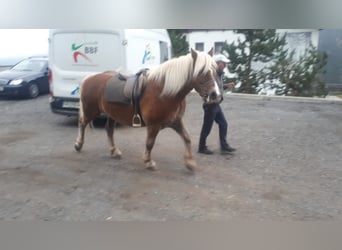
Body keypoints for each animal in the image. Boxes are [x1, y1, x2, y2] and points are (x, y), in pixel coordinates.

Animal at [74, 47, 222, 171]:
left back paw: (114, 151)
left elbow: (187, 138)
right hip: (91, 111)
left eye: (214, 70)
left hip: (111, 114)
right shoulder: (153, 125)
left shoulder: (176, 121)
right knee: (82, 123)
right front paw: (148, 161)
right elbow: (150, 143)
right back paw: (78, 144)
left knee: (109, 130)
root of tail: (89, 77)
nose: (215, 95)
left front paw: (189, 162)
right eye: (201, 71)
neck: (165, 91)